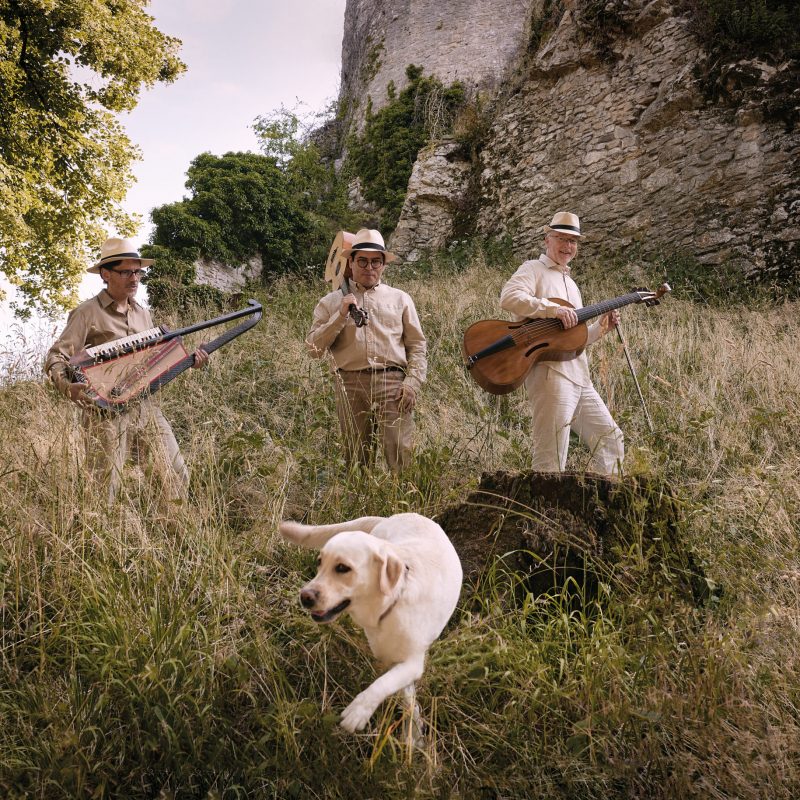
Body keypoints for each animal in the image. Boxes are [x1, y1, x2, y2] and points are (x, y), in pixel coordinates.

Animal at [280, 516, 462, 736]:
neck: (389, 605)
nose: (304, 597)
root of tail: (395, 516)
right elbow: (399, 689)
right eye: (319, 562)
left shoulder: (413, 662)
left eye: (342, 568)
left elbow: (385, 682)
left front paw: (360, 711)